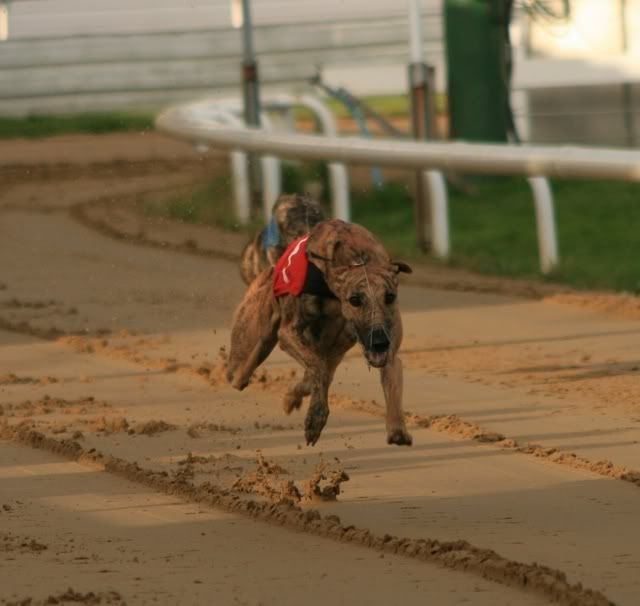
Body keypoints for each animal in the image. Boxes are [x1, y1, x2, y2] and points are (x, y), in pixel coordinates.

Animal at [228, 216, 412, 448]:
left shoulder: (385, 348)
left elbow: (391, 378)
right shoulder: (289, 333)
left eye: (389, 296)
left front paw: (397, 429)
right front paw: (315, 418)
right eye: (355, 300)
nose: (379, 341)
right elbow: (317, 369)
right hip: (248, 348)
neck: (358, 257)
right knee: (240, 374)